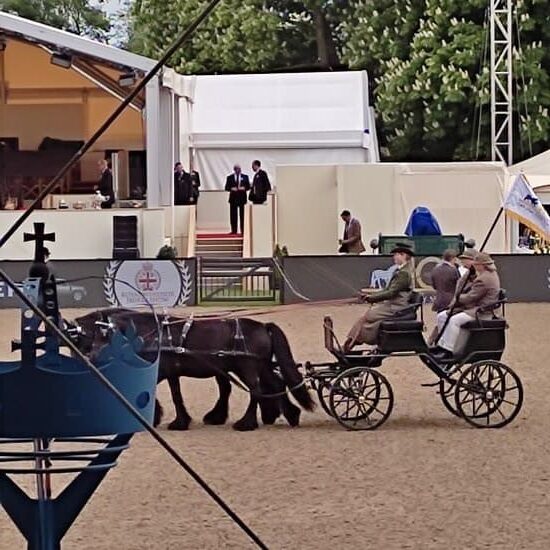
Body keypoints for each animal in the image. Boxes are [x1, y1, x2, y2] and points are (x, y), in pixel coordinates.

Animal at [71, 310, 316, 432]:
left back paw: (246, 424)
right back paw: (288, 415)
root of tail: (263, 326)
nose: (92, 357)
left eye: (104, 335)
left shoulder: (165, 370)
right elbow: (168, 394)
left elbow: (171, 395)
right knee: (274, 385)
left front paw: (175, 422)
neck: (154, 335)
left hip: (247, 367)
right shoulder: (167, 372)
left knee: (256, 391)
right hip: (260, 365)